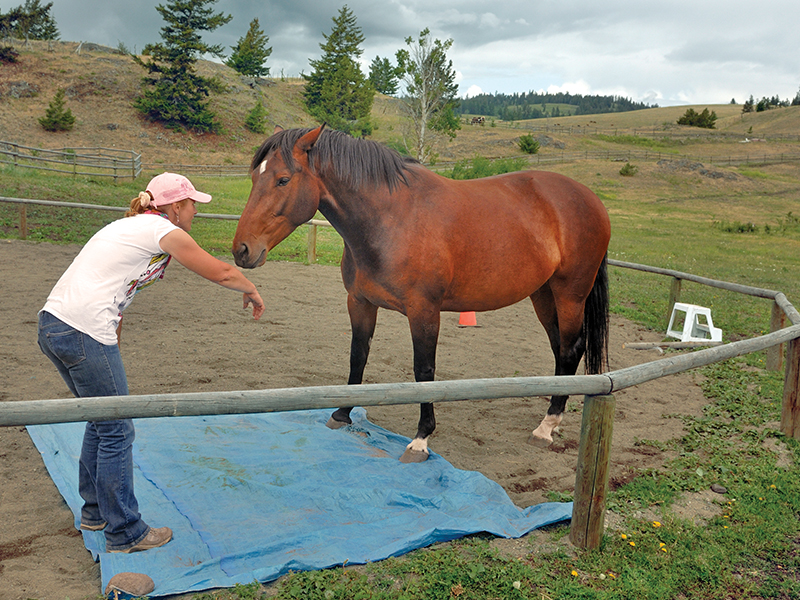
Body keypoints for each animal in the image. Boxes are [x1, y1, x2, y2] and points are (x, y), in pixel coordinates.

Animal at [233, 125, 610, 463]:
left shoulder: (424, 311)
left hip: (570, 294)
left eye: (283, 180)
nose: (242, 250)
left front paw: (420, 439)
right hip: (543, 295)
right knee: (561, 350)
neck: (392, 220)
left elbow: (424, 371)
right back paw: (553, 419)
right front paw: (342, 413)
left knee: (571, 348)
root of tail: (590, 198)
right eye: (253, 178)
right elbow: (358, 355)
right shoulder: (360, 303)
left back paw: (547, 426)